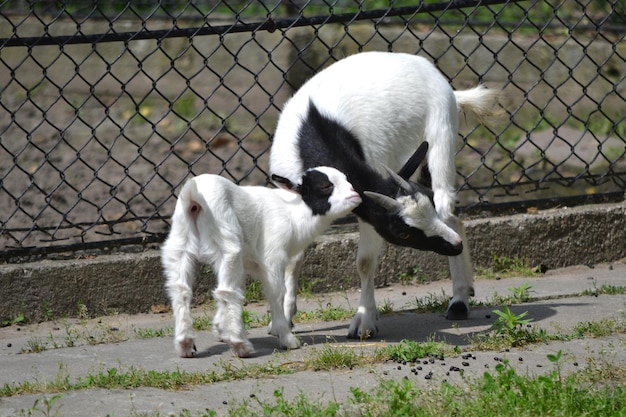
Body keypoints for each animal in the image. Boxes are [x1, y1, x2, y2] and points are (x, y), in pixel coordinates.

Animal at [160, 167, 360, 358]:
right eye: (326, 186)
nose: (355, 193)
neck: (293, 212)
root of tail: (193, 197)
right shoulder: (273, 255)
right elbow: (277, 293)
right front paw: (285, 337)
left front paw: (220, 328)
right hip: (227, 239)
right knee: (226, 291)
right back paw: (241, 345)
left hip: (178, 244)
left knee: (181, 290)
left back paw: (185, 344)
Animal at [268, 51, 498, 338]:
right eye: (402, 231)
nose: (455, 246)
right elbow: (293, 259)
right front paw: (284, 319)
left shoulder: (367, 210)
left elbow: (365, 262)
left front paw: (363, 323)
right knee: (452, 218)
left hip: (441, 134)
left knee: (448, 212)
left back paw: (459, 302)